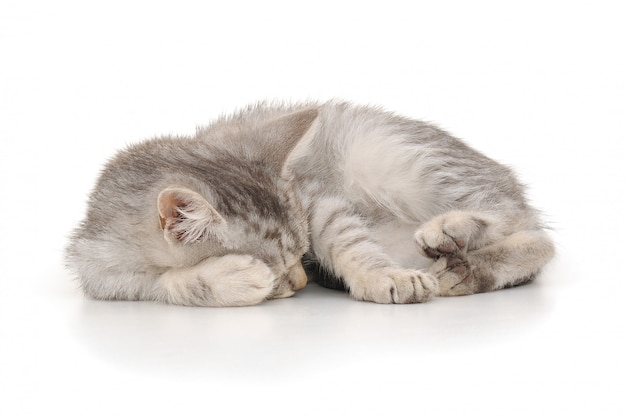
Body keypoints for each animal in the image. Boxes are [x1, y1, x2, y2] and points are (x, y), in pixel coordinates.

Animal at [64, 101, 552, 306]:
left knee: (533, 231)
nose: (301, 280)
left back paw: (453, 237)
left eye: (300, 253)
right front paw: (233, 277)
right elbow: (161, 282)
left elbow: (350, 242)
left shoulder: (314, 199)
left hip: (390, 155)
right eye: (284, 267)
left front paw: (384, 277)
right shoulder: (100, 275)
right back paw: (465, 269)